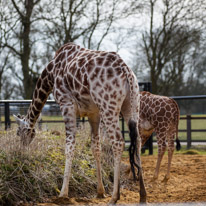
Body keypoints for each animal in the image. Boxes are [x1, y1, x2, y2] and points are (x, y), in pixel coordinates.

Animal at [14, 42, 146, 204]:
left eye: (19, 133)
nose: (21, 150)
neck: (50, 74)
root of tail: (126, 70)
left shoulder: (66, 104)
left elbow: (69, 147)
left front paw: (63, 194)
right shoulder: (94, 114)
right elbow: (95, 148)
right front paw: (100, 191)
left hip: (109, 106)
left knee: (118, 142)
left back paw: (115, 197)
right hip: (132, 105)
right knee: (138, 140)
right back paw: (143, 195)